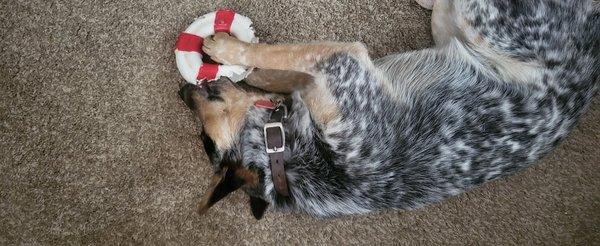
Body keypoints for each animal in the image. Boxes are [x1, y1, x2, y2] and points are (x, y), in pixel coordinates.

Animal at [178, 0, 600, 219]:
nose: (183, 91)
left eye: (204, 139)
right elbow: (278, 73)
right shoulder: (329, 70)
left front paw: (228, 50)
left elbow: (271, 59)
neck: (285, 153)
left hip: (482, 22)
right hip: (452, 29)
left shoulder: (335, 59)